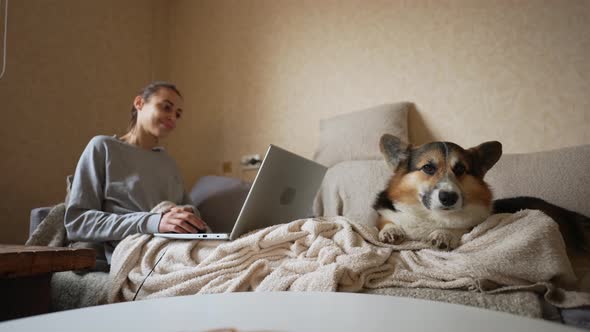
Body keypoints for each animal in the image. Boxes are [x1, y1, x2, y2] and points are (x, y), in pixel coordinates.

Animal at [374, 133, 590, 252]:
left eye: (460, 169)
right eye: (428, 168)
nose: (449, 197)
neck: (430, 216)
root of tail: (567, 212)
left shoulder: (471, 225)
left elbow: (458, 228)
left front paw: (443, 235)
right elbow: (387, 222)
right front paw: (391, 231)